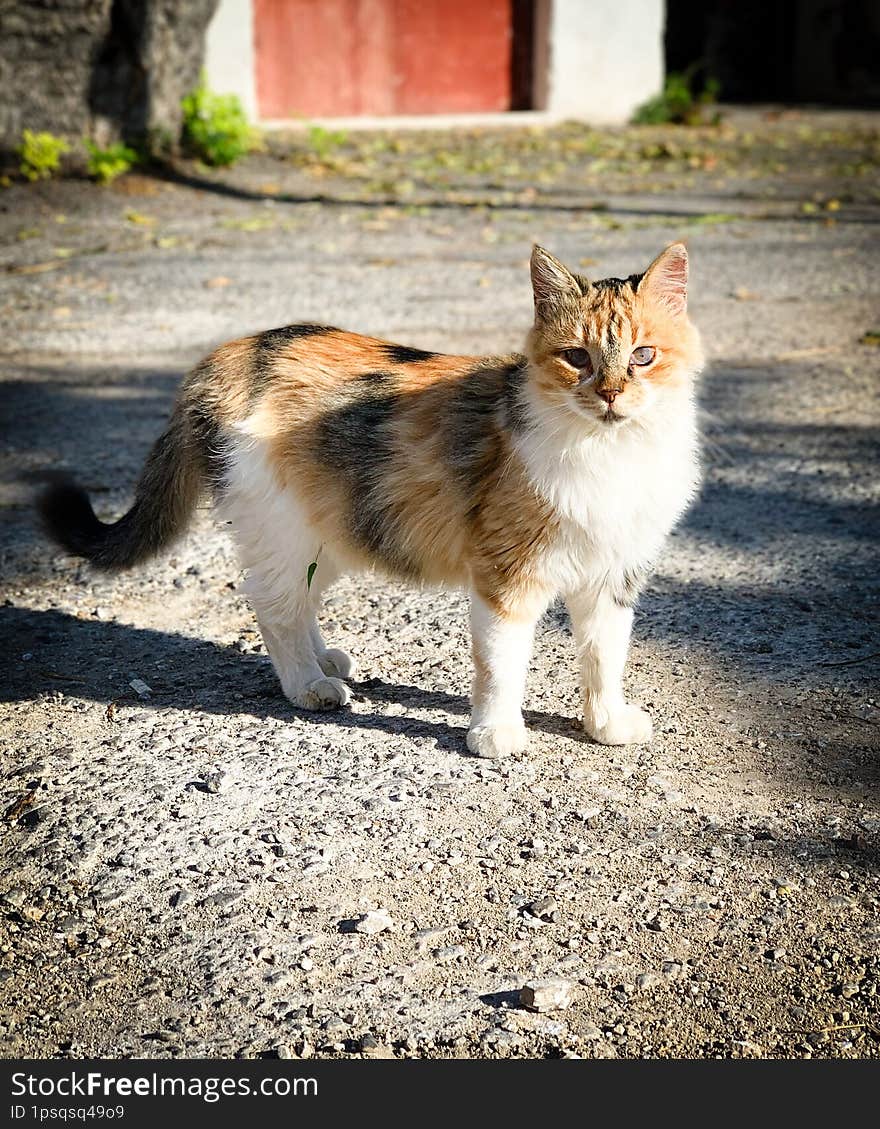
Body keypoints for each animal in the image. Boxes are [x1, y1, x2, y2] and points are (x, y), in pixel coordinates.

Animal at [39, 244, 700, 758]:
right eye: (577, 358)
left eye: (643, 356)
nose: (611, 394)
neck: (608, 454)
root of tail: (233, 351)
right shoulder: (506, 577)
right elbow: (501, 664)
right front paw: (496, 735)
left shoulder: (612, 575)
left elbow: (605, 657)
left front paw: (606, 723)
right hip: (281, 530)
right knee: (274, 609)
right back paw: (308, 686)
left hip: (329, 534)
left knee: (299, 603)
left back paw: (325, 662)